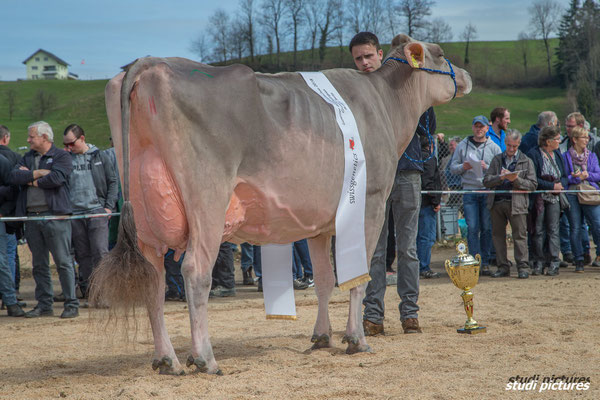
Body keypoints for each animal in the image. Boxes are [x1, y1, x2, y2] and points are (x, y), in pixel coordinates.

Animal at [91, 34, 472, 376]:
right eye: (440, 53)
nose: (466, 76)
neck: (386, 103)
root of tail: (152, 62)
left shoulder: (321, 224)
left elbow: (324, 279)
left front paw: (322, 337)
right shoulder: (371, 204)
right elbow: (359, 276)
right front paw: (357, 339)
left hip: (144, 210)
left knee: (152, 279)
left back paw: (166, 360)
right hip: (207, 201)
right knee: (195, 272)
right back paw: (204, 359)